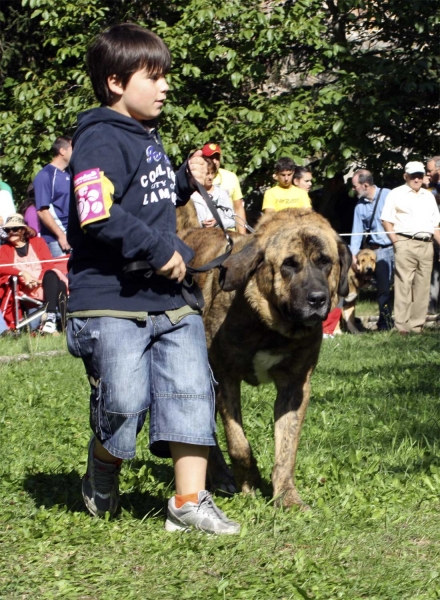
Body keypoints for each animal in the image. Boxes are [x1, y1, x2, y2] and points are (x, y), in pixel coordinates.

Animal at [179, 206, 350, 506]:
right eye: (289, 264)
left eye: (325, 262)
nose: (317, 299)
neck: (271, 328)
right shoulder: (225, 379)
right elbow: (238, 442)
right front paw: (249, 483)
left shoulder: (295, 387)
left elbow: (286, 448)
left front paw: (286, 495)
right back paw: (222, 477)